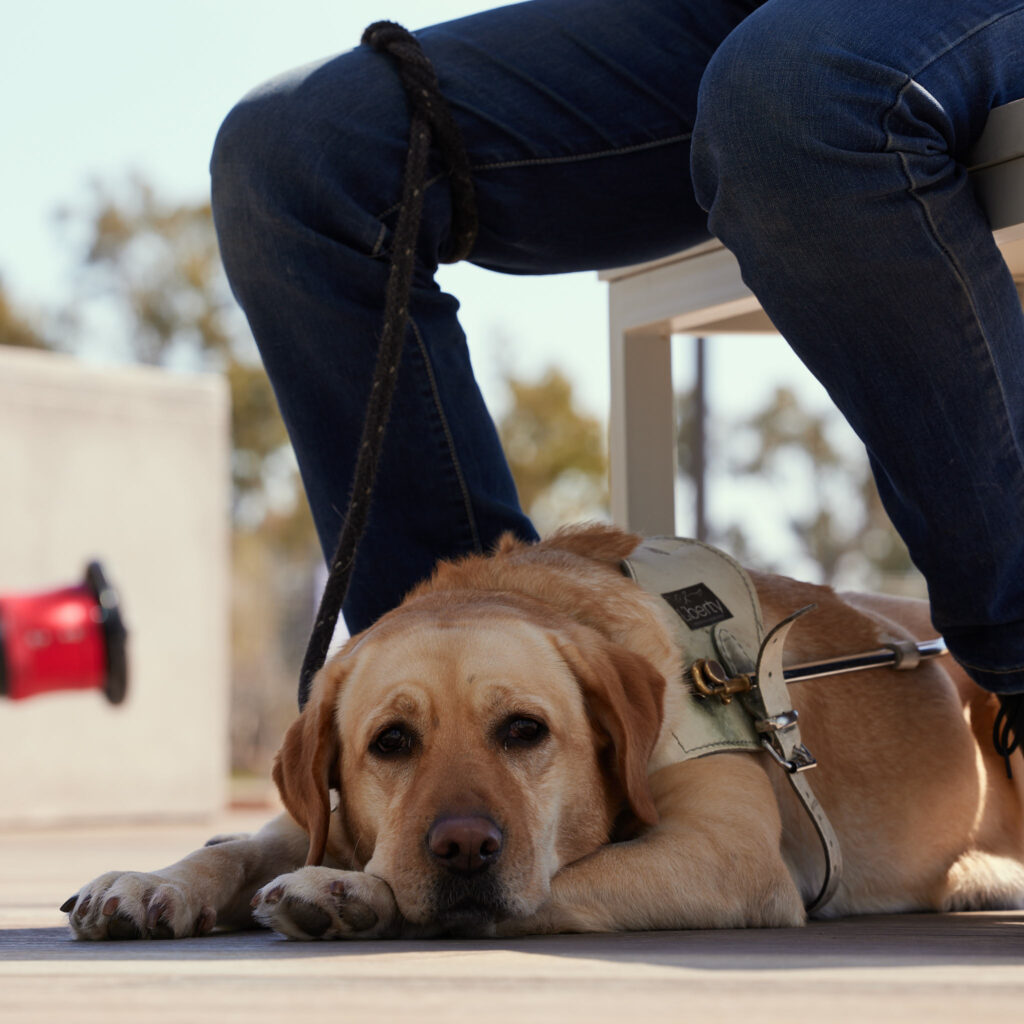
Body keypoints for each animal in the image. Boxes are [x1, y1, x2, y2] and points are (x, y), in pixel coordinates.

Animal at [61, 528, 1024, 937]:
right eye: (391, 742)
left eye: (525, 730)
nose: (461, 846)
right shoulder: (316, 815)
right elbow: (237, 843)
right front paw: (153, 881)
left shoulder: (730, 856)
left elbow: (561, 880)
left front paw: (350, 892)